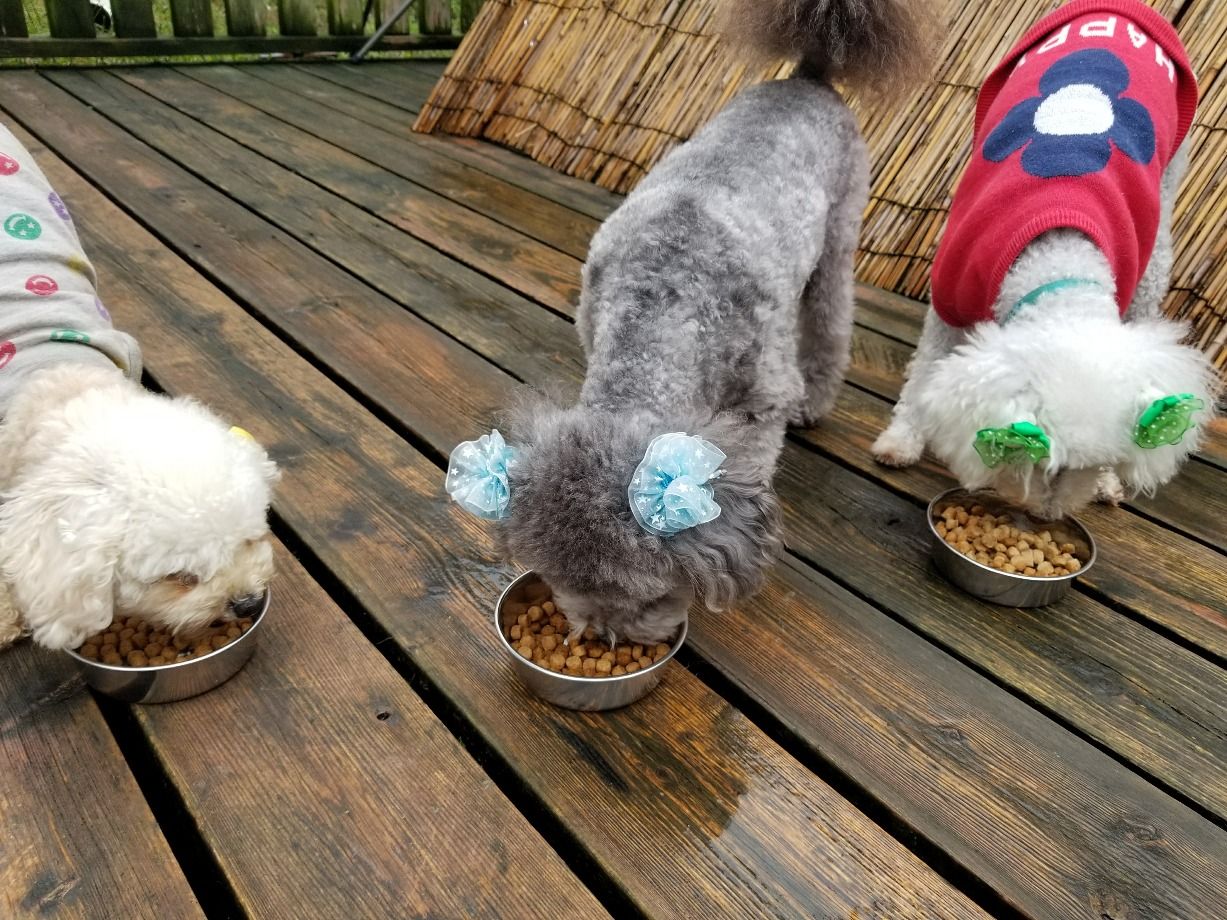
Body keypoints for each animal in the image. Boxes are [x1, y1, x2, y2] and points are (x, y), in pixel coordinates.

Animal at [446, 0, 934, 644]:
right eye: (560, 583)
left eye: (645, 596)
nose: (605, 637)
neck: (664, 297)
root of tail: (809, 74)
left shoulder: (761, 401)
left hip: (838, 241)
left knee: (831, 323)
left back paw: (817, 400)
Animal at [872, 0, 1219, 519]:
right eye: (1041, 457)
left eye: (1093, 463)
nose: (1046, 515)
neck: (1058, 267)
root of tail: (1129, 9)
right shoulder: (948, 298)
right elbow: (925, 372)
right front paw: (902, 440)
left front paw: (1109, 482)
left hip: (1161, 222)